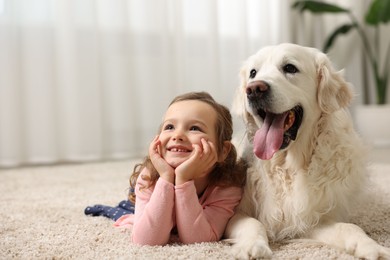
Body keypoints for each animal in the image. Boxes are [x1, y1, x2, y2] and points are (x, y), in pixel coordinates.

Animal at [225, 43, 390, 258]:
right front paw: (252, 246)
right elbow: (253, 223)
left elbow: (349, 227)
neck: (287, 167)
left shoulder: (311, 217)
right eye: (253, 73)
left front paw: (372, 247)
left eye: (290, 68)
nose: (253, 89)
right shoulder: (233, 213)